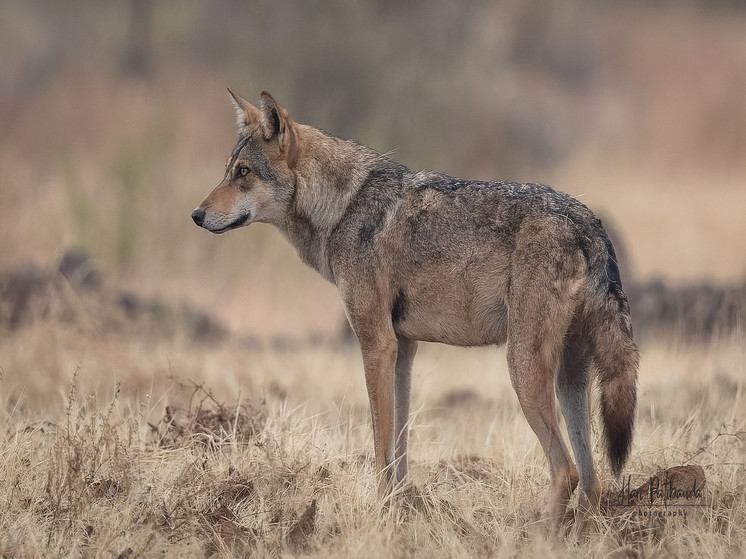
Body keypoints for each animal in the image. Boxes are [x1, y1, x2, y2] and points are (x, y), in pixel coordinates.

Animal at [189, 88, 636, 520]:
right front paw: (403, 506)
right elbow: (399, 444)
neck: (342, 208)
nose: (196, 214)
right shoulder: (403, 349)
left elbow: (380, 444)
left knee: (567, 472)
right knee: (593, 481)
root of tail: (589, 222)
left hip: (523, 366)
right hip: (570, 379)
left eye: (243, 173)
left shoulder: (376, 345)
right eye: (228, 169)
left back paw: (541, 533)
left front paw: (380, 513)